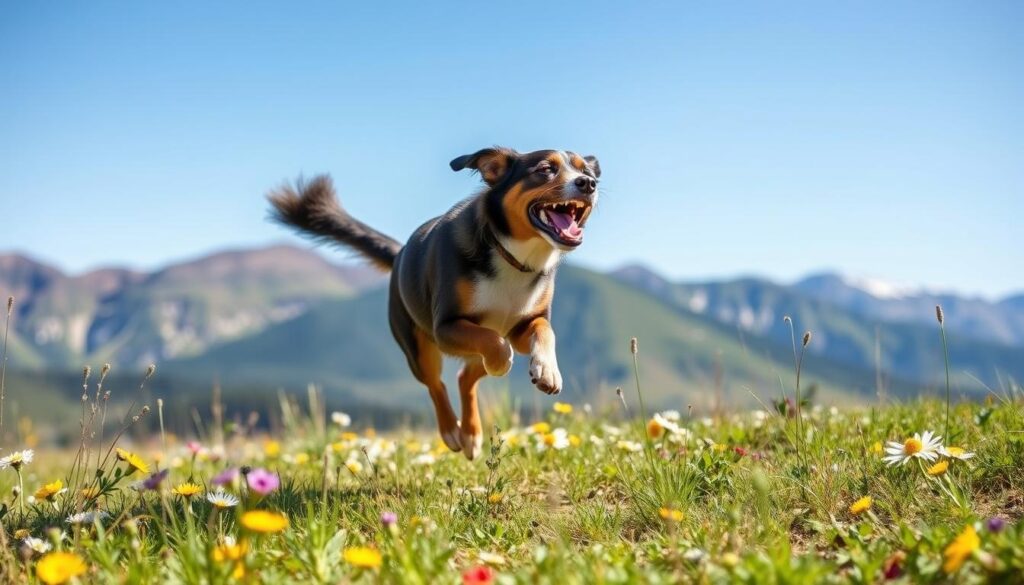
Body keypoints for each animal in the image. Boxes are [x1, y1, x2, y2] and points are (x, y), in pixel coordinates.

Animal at [268, 147, 598, 463]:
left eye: (587, 171)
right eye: (545, 169)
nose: (589, 183)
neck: (510, 256)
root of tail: (399, 254)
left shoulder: (522, 326)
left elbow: (544, 330)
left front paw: (547, 370)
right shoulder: (447, 327)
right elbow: (495, 344)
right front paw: (501, 363)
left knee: (465, 377)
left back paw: (472, 434)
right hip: (418, 346)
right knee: (437, 383)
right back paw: (453, 432)